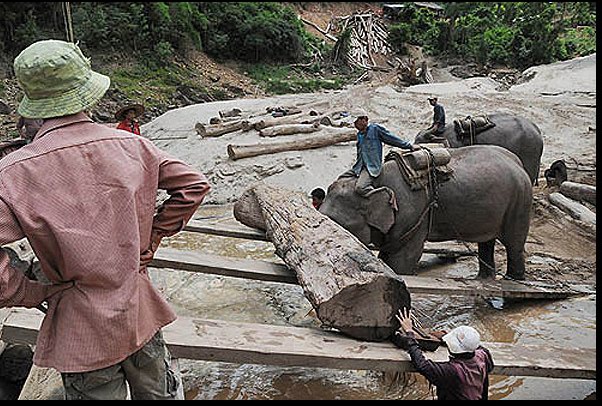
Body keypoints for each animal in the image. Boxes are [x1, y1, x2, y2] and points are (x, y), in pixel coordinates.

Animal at [318, 145, 528, 280]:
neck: (369, 182)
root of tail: (518, 162)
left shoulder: (411, 212)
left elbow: (403, 258)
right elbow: (388, 253)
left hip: (518, 201)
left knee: (514, 244)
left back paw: (512, 283)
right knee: (486, 242)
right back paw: (483, 280)